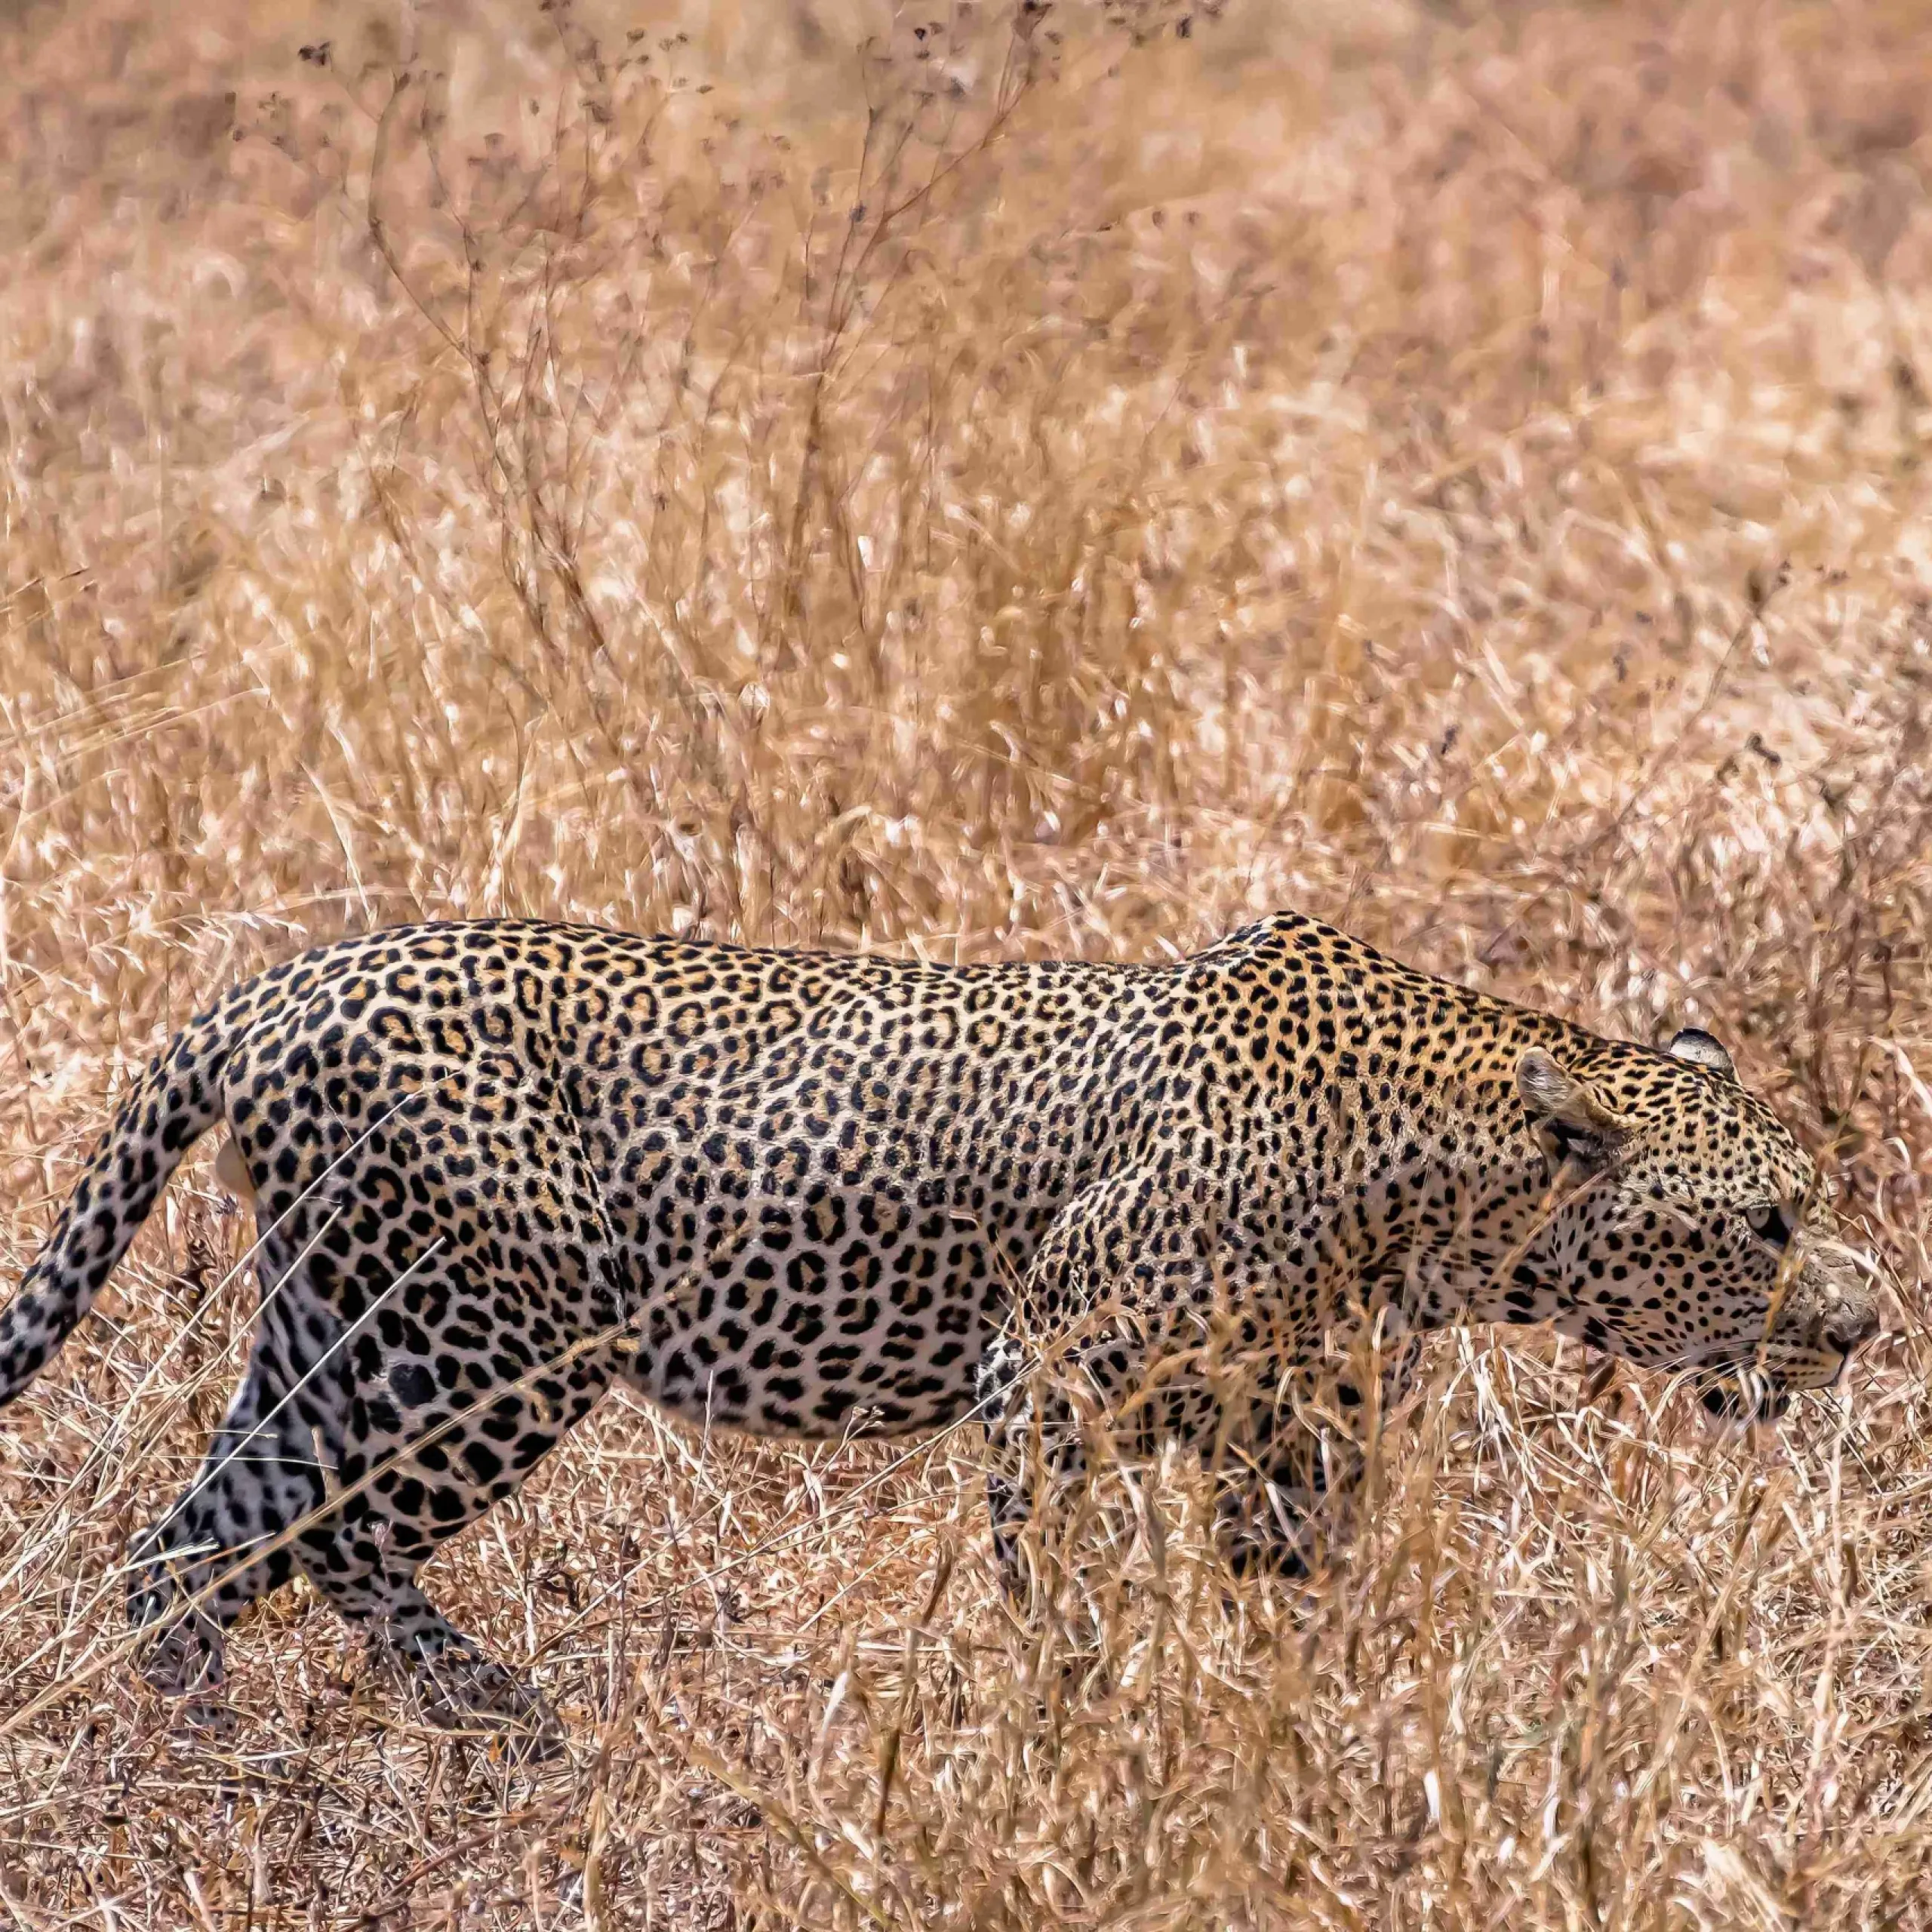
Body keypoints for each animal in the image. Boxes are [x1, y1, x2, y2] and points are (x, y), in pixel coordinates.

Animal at [0, 911, 1881, 1741]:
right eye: (1765, 1221)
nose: (1866, 1321)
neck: (1438, 1193)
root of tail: (281, 980)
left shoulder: (1293, 1431)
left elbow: (1303, 1597)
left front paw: (1326, 1714)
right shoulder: (1041, 1371)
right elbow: (1054, 1583)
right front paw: (1077, 1729)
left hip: (338, 1329)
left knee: (196, 1535)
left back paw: (211, 1744)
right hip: (477, 1338)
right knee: (327, 1536)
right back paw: (502, 1722)